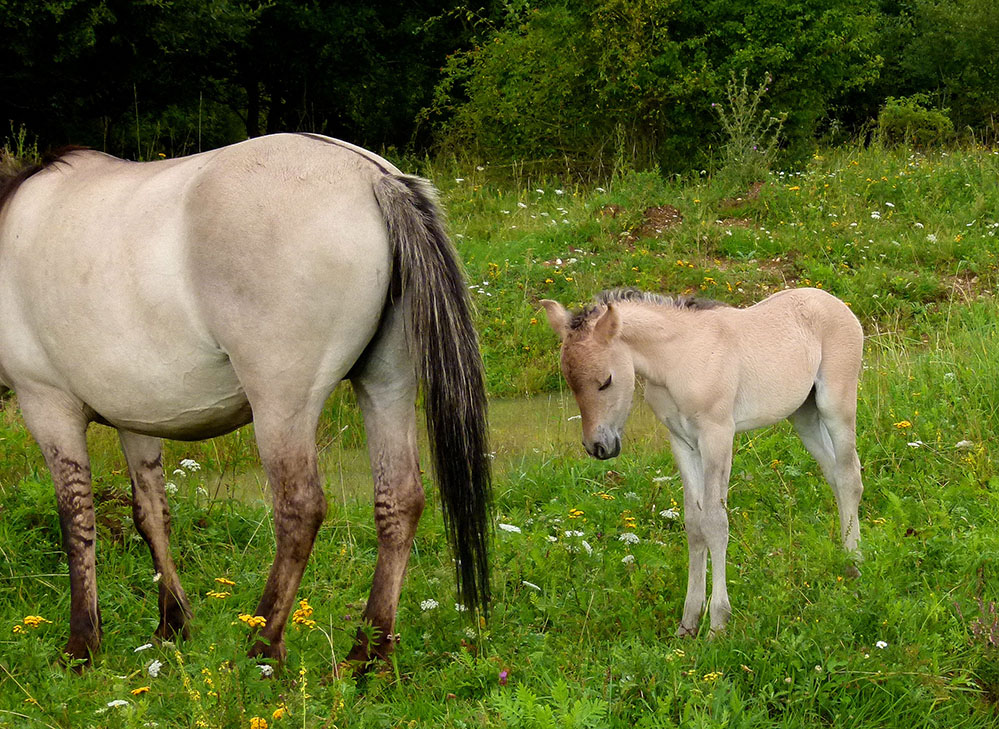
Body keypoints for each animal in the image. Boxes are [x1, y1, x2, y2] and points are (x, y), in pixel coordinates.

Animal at [0, 134, 492, 668]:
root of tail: (373, 177)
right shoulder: (135, 417)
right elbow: (151, 515)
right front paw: (173, 625)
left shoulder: (47, 405)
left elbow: (77, 519)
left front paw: (81, 645)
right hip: (388, 384)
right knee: (399, 500)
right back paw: (366, 655)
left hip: (282, 405)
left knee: (299, 510)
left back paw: (263, 647)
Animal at [544, 288, 864, 636]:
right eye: (570, 382)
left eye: (606, 381)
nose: (598, 447)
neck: (678, 359)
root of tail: (837, 303)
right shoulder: (682, 443)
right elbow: (694, 524)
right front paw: (688, 623)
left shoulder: (717, 436)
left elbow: (715, 522)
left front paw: (718, 623)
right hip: (803, 415)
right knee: (834, 474)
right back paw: (845, 557)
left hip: (835, 405)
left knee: (849, 477)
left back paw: (855, 562)